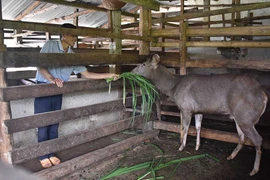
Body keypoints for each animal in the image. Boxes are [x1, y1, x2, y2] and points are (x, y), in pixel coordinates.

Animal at [132, 53, 268, 176]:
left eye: (143, 64)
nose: (132, 71)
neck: (173, 88)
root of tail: (264, 95)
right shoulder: (198, 110)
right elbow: (198, 127)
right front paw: (197, 146)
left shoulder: (186, 107)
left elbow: (185, 127)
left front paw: (182, 146)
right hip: (240, 117)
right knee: (242, 137)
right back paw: (231, 156)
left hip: (246, 115)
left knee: (258, 139)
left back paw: (254, 170)